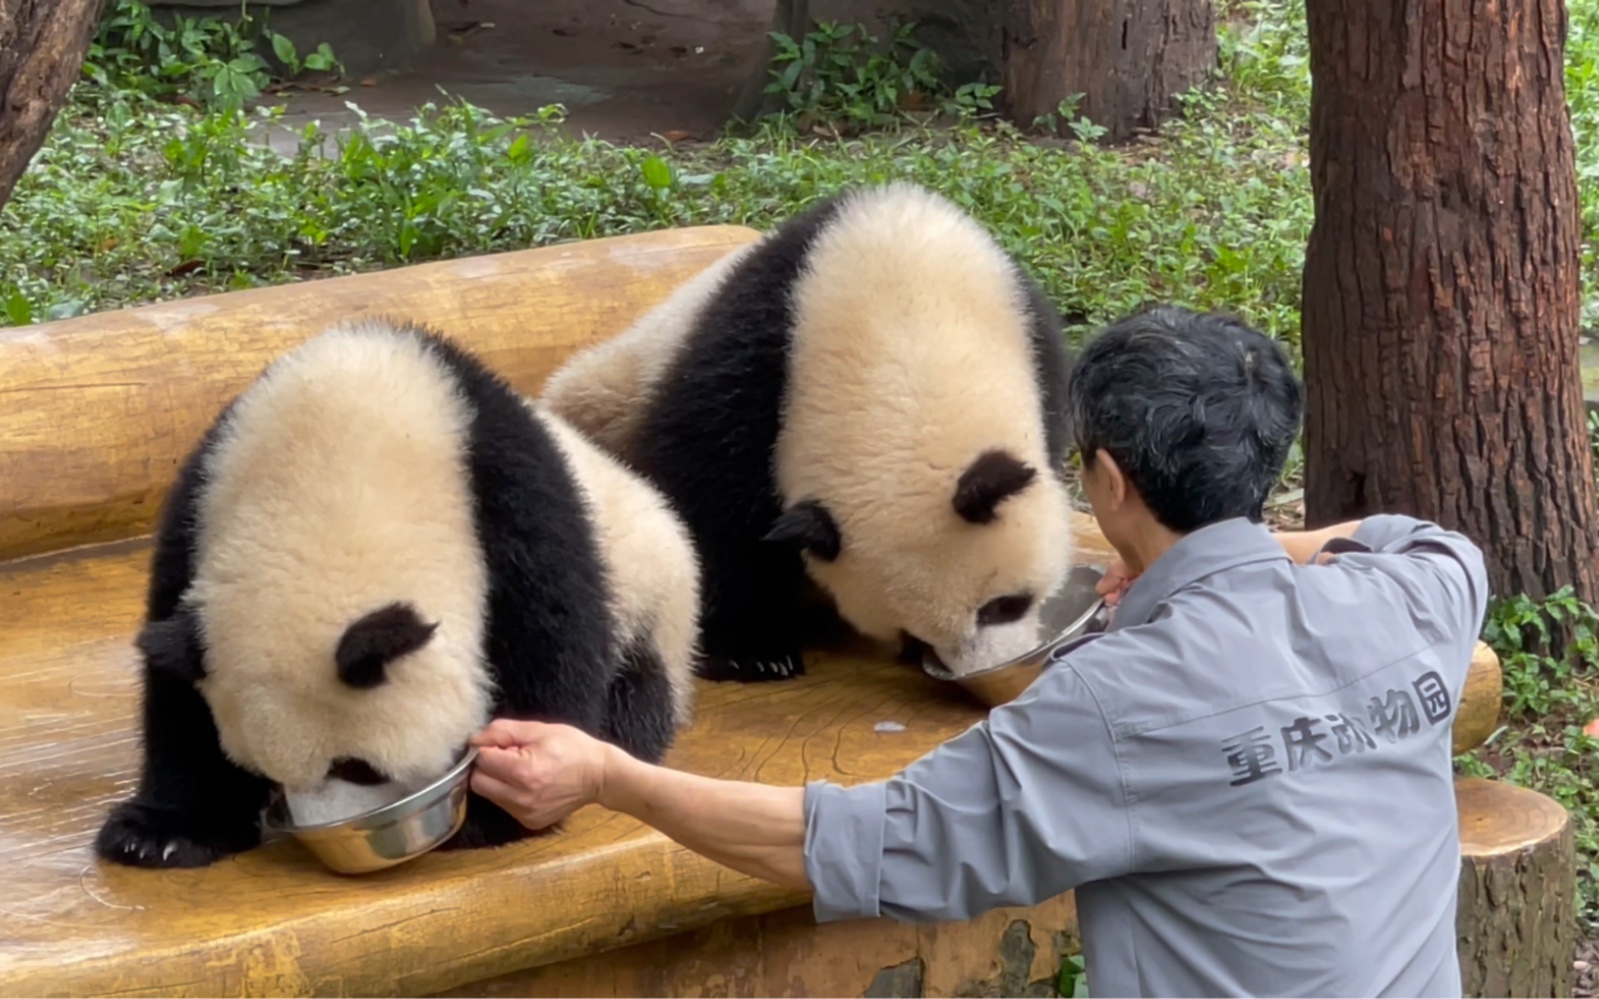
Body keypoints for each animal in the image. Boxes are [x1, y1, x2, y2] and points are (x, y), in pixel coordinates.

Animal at [543, 181, 1080, 684]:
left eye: (1005, 605)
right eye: (914, 636)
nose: (988, 667)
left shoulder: (1033, 339)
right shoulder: (753, 362)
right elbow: (710, 500)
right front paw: (753, 650)